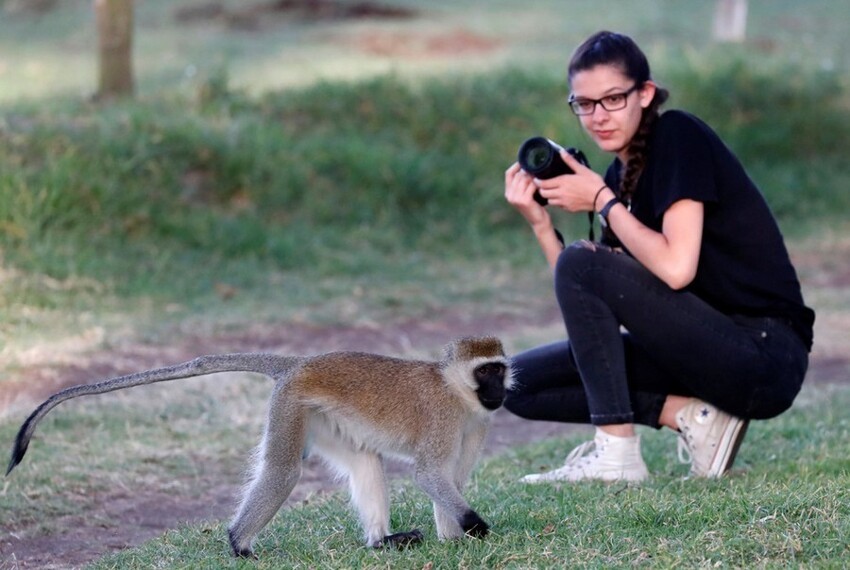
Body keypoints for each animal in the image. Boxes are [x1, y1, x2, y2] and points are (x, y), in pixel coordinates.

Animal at [4, 336, 510, 556]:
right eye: (485, 371)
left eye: (500, 369)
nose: (500, 390)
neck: (458, 392)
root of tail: (299, 364)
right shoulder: (443, 418)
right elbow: (430, 474)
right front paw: (476, 525)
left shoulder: (476, 424)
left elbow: (448, 479)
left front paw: (452, 537)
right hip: (290, 406)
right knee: (284, 472)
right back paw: (238, 544)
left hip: (321, 419)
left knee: (365, 461)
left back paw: (381, 541)